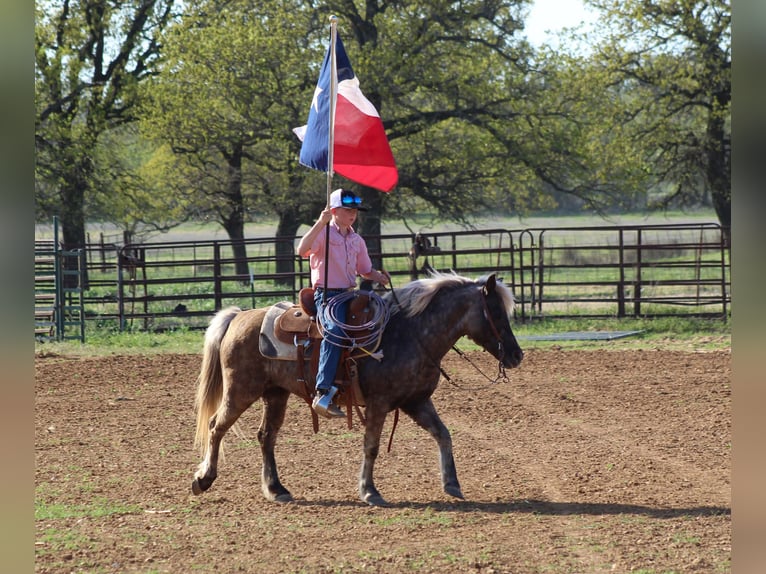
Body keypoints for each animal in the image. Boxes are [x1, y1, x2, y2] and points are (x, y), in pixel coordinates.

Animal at [191, 271, 524, 507]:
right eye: (495, 312)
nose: (516, 355)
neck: (412, 335)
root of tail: (239, 316)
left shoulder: (416, 401)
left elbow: (443, 434)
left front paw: (452, 483)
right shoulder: (379, 403)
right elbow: (371, 445)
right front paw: (369, 490)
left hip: (275, 394)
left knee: (266, 436)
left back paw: (276, 489)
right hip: (241, 390)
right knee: (216, 426)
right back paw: (204, 478)